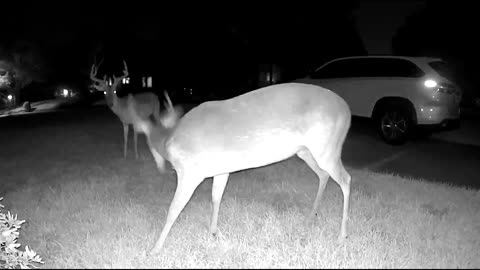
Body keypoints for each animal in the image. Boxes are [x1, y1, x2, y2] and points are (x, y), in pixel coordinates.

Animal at [127, 82, 352, 255]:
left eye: (147, 143)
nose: (161, 168)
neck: (169, 140)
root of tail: (347, 111)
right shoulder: (221, 170)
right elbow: (216, 197)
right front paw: (214, 232)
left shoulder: (190, 170)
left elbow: (173, 209)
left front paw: (154, 249)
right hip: (306, 151)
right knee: (323, 175)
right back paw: (312, 215)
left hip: (326, 147)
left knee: (346, 179)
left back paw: (341, 236)